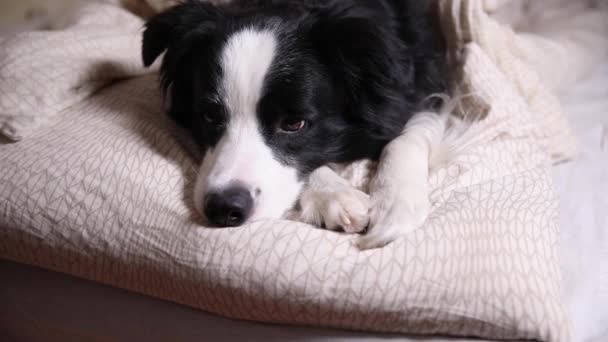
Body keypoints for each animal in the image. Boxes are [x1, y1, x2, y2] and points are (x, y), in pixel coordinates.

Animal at [141, 0, 446, 248]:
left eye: (293, 123)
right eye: (209, 116)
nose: (223, 209)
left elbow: (407, 136)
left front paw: (395, 208)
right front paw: (335, 195)